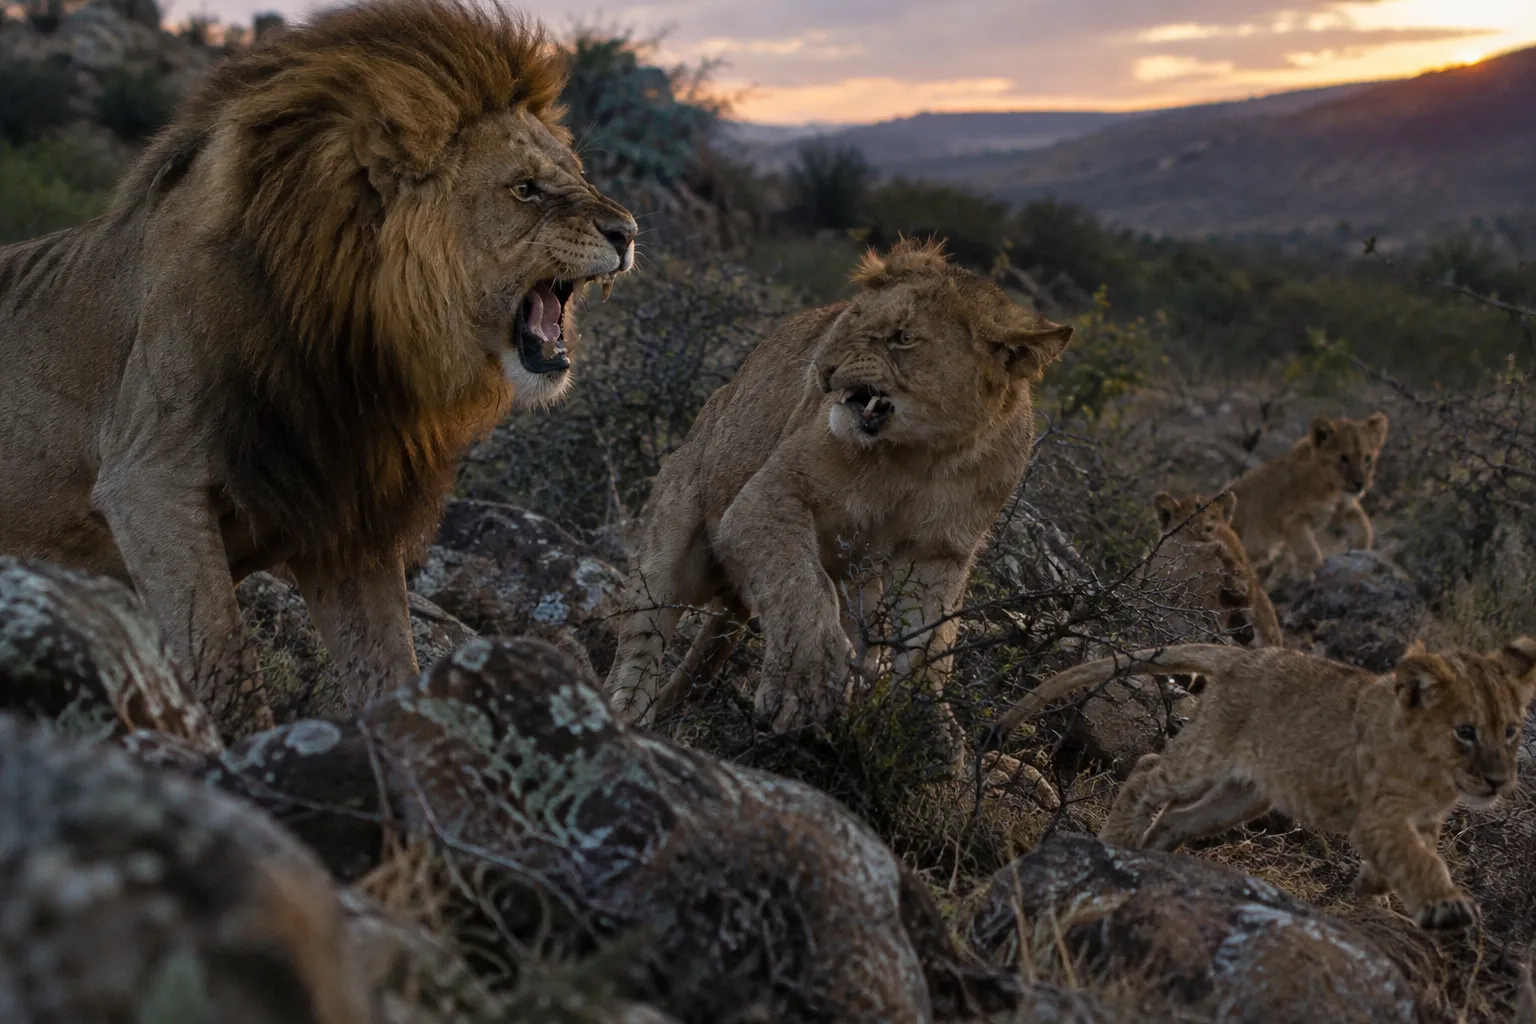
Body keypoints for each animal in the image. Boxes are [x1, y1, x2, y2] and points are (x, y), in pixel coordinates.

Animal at [0, 0, 637, 718]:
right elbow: (227, 670)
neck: (358, 343)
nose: (627, 233)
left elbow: (392, 669)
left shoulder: (348, 513)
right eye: (525, 189)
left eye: (577, 175)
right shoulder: (148, 478)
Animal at [602, 239, 1073, 753]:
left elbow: (931, 639)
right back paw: (625, 716)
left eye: (903, 338)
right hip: (674, 541)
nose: (823, 368)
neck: (925, 455)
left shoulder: (939, 552)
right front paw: (806, 681)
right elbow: (800, 583)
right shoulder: (766, 497)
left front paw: (925, 726)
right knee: (640, 642)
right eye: (853, 318)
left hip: (855, 581)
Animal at [991, 638, 1536, 930]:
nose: (1498, 781)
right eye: (1466, 731)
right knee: (1146, 771)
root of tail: (1243, 657)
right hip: (1204, 760)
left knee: (1178, 818)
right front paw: (1446, 907)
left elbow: (1403, 859)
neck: (1438, 775)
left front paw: (1371, 890)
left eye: (1511, 730)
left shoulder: (1421, 820)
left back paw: (1156, 859)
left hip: (1242, 796)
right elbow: (1419, 860)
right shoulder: (1380, 814)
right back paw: (1117, 843)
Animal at [1227, 413, 1389, 578]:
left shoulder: (1344, 508)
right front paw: (1310, 572)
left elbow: (1363, 525)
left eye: (1367, 458)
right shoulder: (1293, 519)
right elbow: (1308, 549)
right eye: (1344, 458)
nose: (1360, 483)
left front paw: (1362, 549)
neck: (1333, 489)